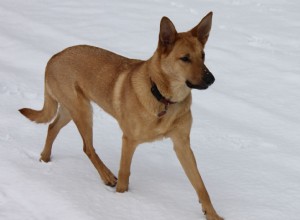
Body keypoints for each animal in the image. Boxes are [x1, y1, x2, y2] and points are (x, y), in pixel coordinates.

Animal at [19, 12, 223, 220]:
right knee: (87, 148)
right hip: (83, 111)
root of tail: (53, 57)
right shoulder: (129, 140)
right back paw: (107, 176)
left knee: (52, 127)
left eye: (203, 56)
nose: (211, 79)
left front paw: (212, 214)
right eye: (185, 58)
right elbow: (124, 175)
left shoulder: (182, 144)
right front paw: (120, 202)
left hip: (70, 110)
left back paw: (44, 158)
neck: (163, 98)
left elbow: (200, 185)